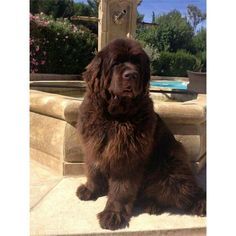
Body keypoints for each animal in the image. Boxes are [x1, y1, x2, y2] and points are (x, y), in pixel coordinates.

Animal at [76, 38, 206, 230]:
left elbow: (121, 188)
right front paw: (90, 190)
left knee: (189, 193)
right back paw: (150, 204)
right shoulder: (94, 145)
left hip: (170, 172)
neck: (115, 117)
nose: (131, 74)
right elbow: (93, 169)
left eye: (137, 63)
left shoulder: (127, 156)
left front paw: (113, 214)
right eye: (116, 62)